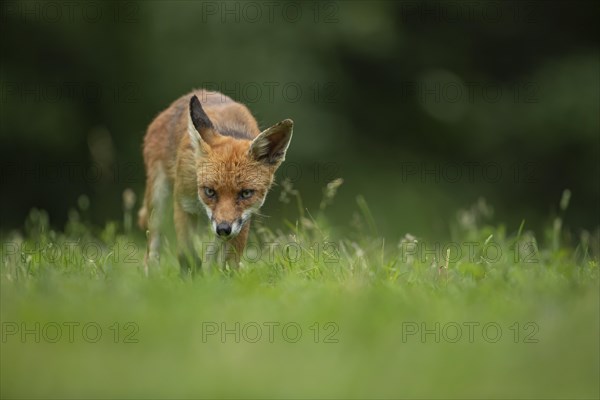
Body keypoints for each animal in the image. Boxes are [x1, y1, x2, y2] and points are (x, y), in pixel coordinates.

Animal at [137, 88, 296, 274]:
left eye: (246, 193)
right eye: (209, 191)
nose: (224, 229)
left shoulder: (242, 219)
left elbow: (229, 260)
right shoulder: (184, 205)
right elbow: (186, 254)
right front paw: (190, 276)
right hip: (159, 198)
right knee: (152, 246)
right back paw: (151, 273)